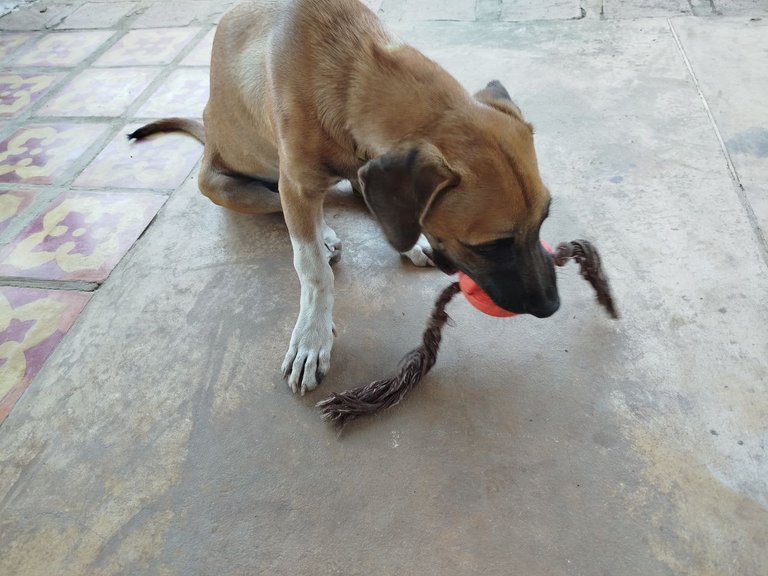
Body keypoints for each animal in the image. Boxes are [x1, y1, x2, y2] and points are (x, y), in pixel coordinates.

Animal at [126, 0, 560, 396]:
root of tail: (208, 139)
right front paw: (312, 335)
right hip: (225, 186)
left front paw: (411, 239)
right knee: (291, 209)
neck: (354, 72)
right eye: (489, 246)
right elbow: (312, 268)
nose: (552, 307)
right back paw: (327, 236)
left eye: (544, 220)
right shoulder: (295, 184)